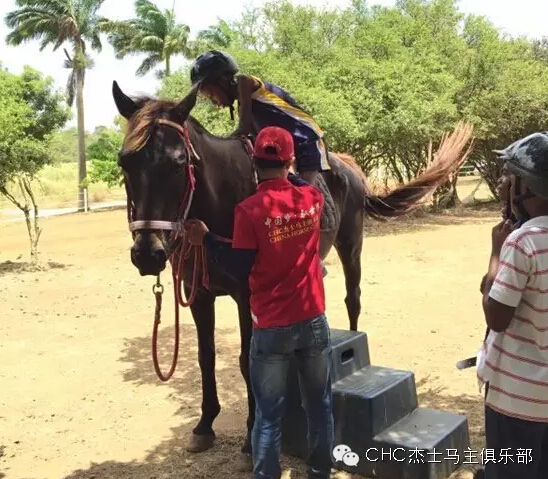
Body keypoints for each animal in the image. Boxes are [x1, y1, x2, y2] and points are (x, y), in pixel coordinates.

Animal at [111, 80, 473, 468]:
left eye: (180, 163)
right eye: (125, 161)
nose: (148, 253)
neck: (221, 203)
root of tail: (351, 168)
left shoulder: (247, 296)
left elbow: (248, 361)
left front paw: (250, 441)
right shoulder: (200, 294)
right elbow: (205, 357)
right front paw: (205, 425)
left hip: (352, 247)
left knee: (354, 300)